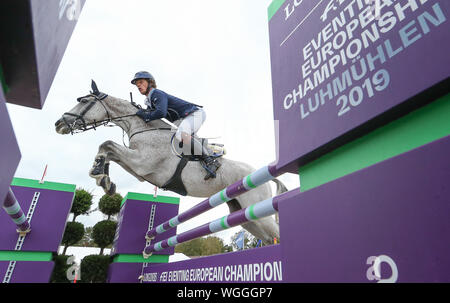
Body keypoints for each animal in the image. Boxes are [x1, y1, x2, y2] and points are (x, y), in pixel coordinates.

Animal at [54, 81, 286, 245]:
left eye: (84, 101)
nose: (58, 123)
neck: (142, 126)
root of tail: (258, 173)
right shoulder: (137, 169)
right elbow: (108, 150)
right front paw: (104, 178)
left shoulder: (142, 162)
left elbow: (108, 144)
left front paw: (100, 174)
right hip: (245, 216)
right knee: (267, 238)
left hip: (256, 208)